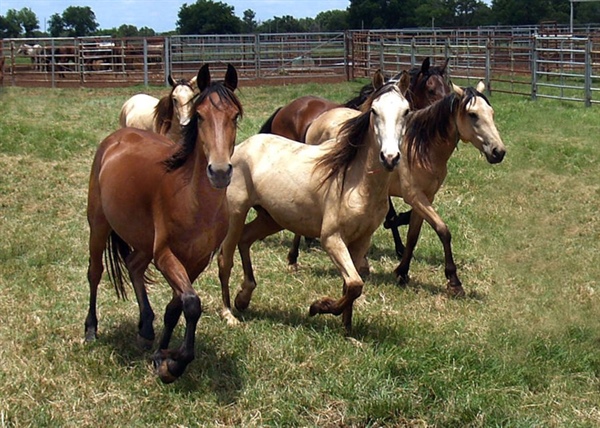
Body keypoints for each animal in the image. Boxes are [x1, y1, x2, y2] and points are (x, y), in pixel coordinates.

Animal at [85, 64, 244, 384]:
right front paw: (174, 364)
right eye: (200, 115)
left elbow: (175, 307)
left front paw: (162, 354)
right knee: (95, 272)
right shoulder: (166, 255)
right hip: (98, 224)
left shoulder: (197, 260)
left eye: (235, 116)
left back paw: (146, 328)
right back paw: (91, 329)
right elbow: (192, 304)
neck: (193, 199)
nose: (220, 172)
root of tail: (117, 137)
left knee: (134, 266)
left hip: (144, 241)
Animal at [218, 73, 410, 332]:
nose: (390, 157)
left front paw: (347, 330)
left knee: (246, 239)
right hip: (236, 214)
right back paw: (228, 314)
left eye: (406, 111)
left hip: (271, 218)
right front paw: (318, 307)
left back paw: (243, 297)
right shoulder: (331, 238)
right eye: (374, 111)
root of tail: (241, 147)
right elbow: (354, 284)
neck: (355, 181)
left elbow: (352, 285)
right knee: (224, 259)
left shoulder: (361, 241)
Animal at [390, 81, 506, 298]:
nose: (499, 152)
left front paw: (402, 272)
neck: (417, 148)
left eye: (492, 113)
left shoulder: (426, 198)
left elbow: (413, 236)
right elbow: (443, 230)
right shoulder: (414, 197)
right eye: (472, 114)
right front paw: (454, 281)